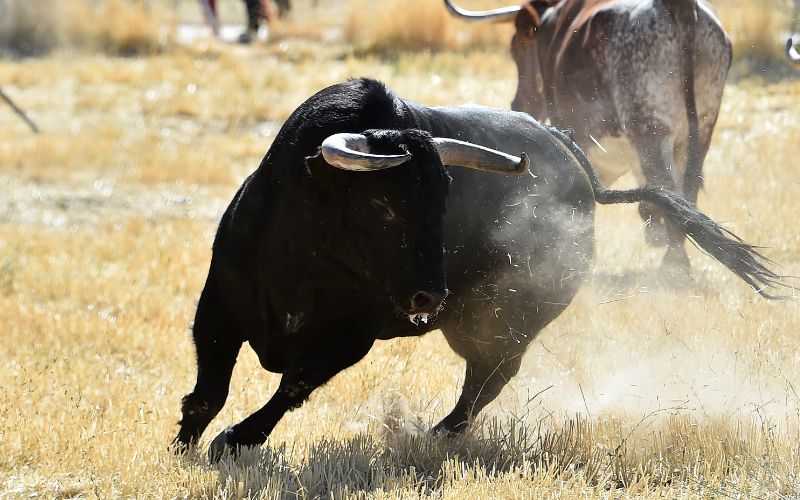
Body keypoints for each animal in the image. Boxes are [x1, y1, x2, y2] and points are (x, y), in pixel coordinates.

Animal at [173, 79, 780, 460]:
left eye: (444, 201)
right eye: (381, 205)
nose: (428, 297)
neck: (305, 258)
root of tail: (579, 169)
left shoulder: (350, 338)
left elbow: (293, 384)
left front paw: (233, 440)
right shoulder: (219, 307)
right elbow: (209, 390)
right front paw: (185, 442)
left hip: (505, 319)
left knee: (489, 377)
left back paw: (438, 435)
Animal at [444, 0, 732, 274]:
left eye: (516, 49)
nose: (517, 104)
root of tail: (676, 6)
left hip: (649, 131)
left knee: (667, 184)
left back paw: (674, 264)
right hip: (701, 131)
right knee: (688, 189)